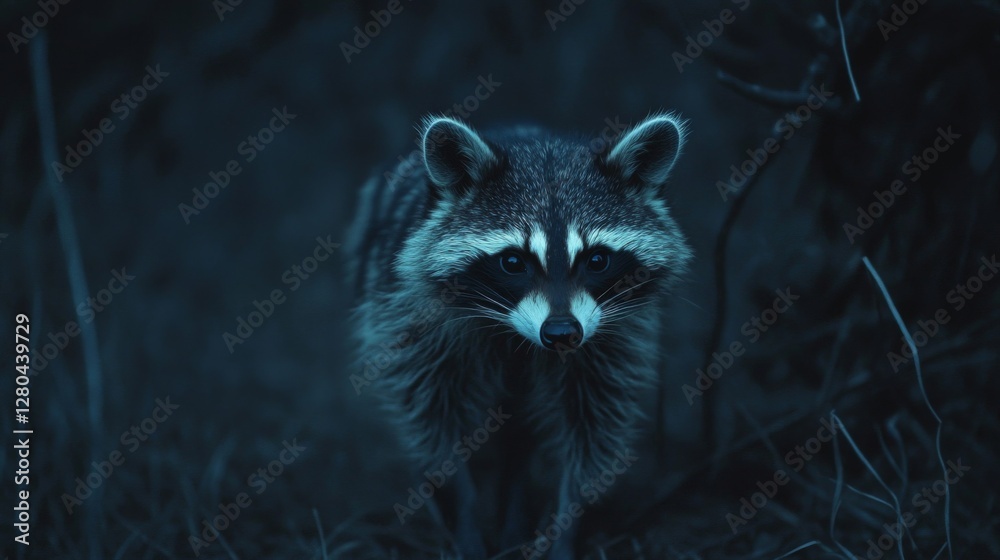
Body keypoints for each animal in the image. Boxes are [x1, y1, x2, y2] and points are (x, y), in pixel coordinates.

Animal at [346, 113, 692, 559]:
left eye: (597, 260)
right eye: (513, 262)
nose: (561, 332)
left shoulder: (612, 343)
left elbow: (593, 434)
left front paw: (565, 527)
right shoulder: (413, 326)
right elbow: (434, 425)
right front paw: (464, 519)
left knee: (519, 434)